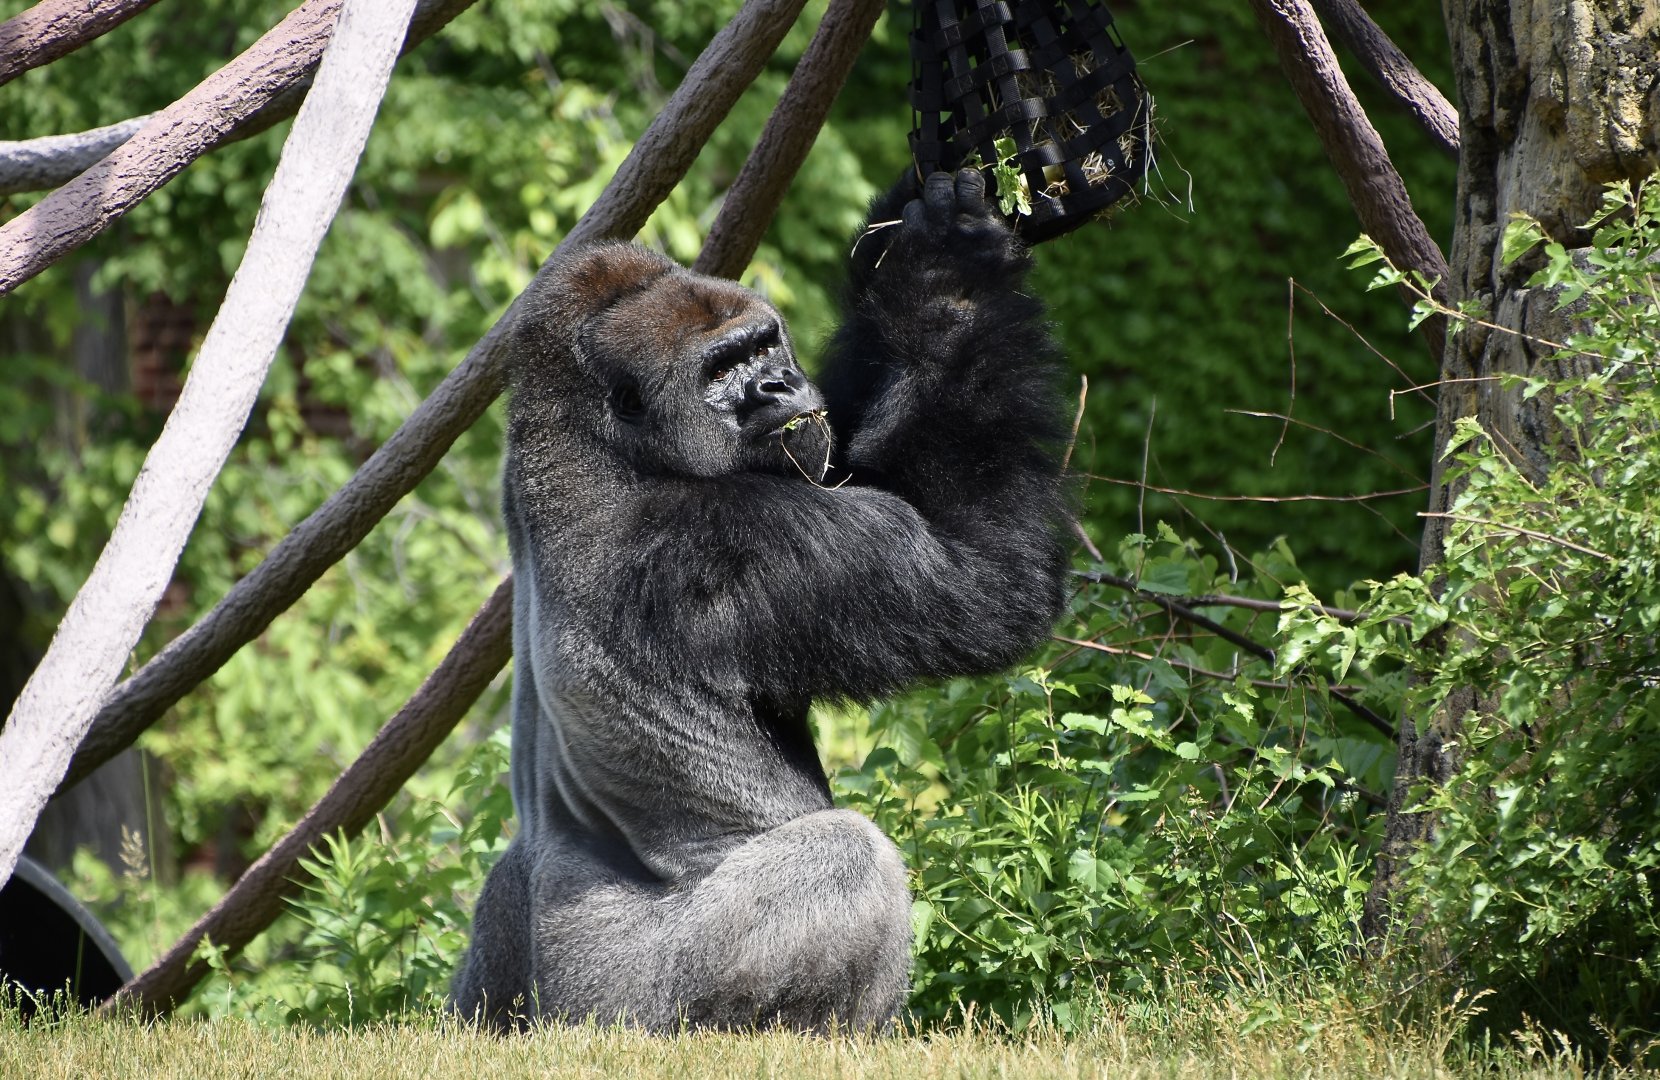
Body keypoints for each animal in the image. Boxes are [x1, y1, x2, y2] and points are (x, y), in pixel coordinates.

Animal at [451, 169, 1070, 1032]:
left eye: (764, 348)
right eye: (721, 372)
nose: (777, 384)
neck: (592, 445)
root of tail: (559, 1023)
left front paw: (896, 248)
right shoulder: (745, 537)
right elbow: (991, 582)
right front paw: (948, 279)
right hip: (640, 1014)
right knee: (847, 856)